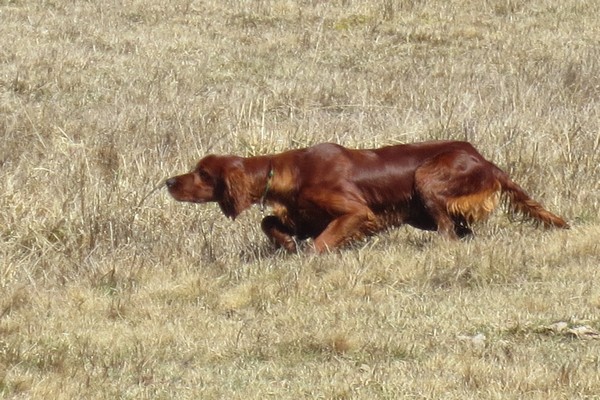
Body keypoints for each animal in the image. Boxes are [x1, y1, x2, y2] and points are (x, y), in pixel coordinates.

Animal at [166, 142, 568, 252]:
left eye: (202, 173)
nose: (169, 181)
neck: (287, 172)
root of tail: (486, 161)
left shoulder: (356, 212)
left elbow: (321, 243)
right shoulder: (303, 215)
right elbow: (270, 221)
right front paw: (285, 242)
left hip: (426, 179)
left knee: (450, 233)